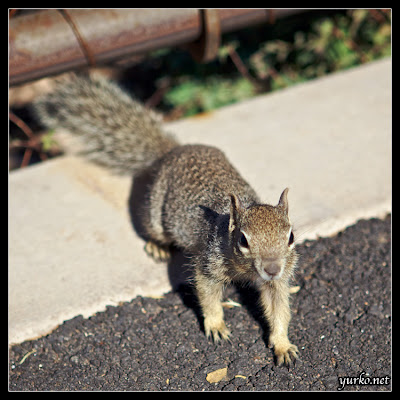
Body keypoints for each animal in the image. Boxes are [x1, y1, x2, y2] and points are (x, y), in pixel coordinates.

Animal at [35, 73, 300, 368]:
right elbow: (207, 295)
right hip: (155, 213)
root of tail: (173, 151)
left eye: (290, 236)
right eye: (243, 240)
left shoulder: (278, 281)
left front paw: (282, 344)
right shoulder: (208, 263)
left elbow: (279, 309)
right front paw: (216, 325)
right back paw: (157, 247)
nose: (272, 268)